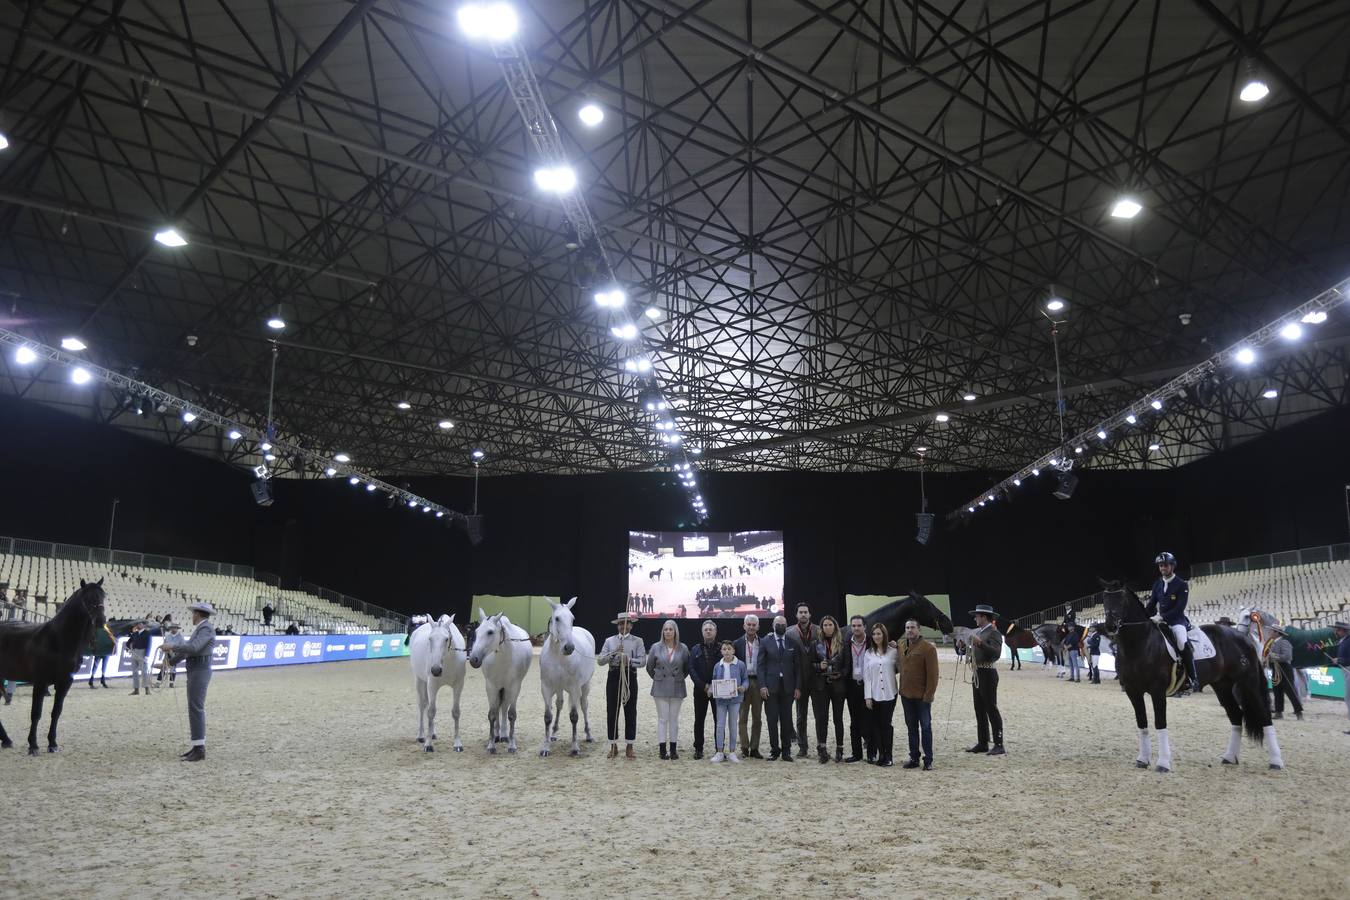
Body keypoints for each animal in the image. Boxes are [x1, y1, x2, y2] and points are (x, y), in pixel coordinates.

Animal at [0, 577, 106, 755]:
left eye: (103, 596)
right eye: (87, 598)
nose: (101, 620)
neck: (57, 640)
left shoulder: (65, 683)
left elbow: (56, 712)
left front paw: (52, 743)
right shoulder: (40, 682)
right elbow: (36, 713)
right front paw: (33, 746)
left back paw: (6, 740)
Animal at [407, 612, 467, 755]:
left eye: (446, 639)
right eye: (430, 639)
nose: (435, 670)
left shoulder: (458, 685)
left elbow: (456, 712)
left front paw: (457, 744)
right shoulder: (432, 685)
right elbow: (431, 712)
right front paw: (428, 745)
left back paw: (432, 733)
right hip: (420, 681)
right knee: (422, 706)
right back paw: (421, 736)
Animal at [464, 612, 526, 755]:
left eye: (490, 632)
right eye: (476, 631)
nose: (473, 659)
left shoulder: (514, 687)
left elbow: (511, 715)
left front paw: (512, 745)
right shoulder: (491, 686)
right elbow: (492, 715)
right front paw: (491, 745)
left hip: (506, 689)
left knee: (503, 708)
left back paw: (504, 735)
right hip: (498, 689)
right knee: (498, 708)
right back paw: (498, 735)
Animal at [537, 601, 596, 755]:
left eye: (572, 618)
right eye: (557, 618)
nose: (569, 647)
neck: (558, 657)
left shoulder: (575, 688)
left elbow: (574, 716)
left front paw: (575, 748)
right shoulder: (546, 688)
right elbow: (548, 717)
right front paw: (545, 748)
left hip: (585, 685)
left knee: (584, 705)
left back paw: (589, 735)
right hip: (559, 688)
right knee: (559, 704)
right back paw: (553, 734)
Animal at [1096, 585, 1274, 777]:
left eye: (1122, 600)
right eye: (1105, 600)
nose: (1110, 626)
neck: (1140, 644)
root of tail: (1244, 638)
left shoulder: (1157, 691)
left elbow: (1160, 723)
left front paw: (1163, 763)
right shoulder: (1132, 691)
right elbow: (1142, 723)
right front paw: (1142, 760)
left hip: (1248, 683)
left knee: (1264, 715)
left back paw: (1276, 762)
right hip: (1222, 686)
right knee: (1236, 716)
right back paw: (1229, 758)